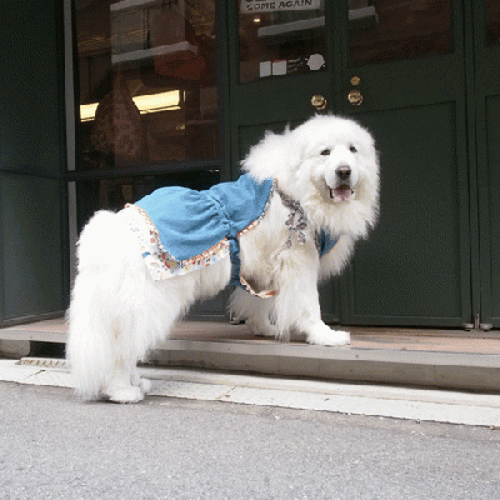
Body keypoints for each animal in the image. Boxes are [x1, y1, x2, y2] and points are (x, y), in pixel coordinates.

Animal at [66, 114, 378, 402]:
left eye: (353, 150)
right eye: (325, 152)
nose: (344, 171)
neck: (296, 190)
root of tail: (111, 229)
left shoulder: (261, 268)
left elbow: (258, 302)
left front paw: (264, 329)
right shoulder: (299, 262)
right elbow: (309, 307)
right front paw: (326, 337)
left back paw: (136, 383)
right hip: (149, 304)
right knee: (122, 351)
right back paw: (123, 391)